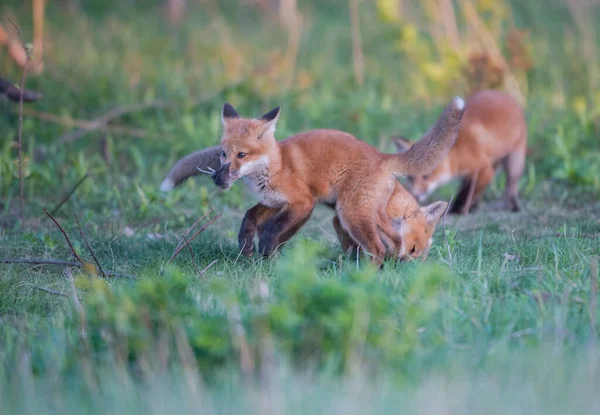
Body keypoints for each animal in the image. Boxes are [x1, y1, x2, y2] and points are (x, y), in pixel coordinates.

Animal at [162, 98, 466, 264]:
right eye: (223, 154)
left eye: (241, 155)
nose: (218, 178)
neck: (277, 166)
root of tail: (381, 155)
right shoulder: (274, 202)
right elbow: (250, 218)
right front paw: (248, 250)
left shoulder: (303, 202)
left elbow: (274, 231)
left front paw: (265, 258)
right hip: (362, 213)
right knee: (387, 242)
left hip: (351, 211)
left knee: (377, 248)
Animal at [396, 90, 528, 214]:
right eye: (410, 178)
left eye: (426, 176)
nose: (415, 195)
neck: (458, 152)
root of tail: (504, 94)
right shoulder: (470, 174)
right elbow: (464, 191)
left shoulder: (484, 169)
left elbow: (467, 193)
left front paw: (457, 210)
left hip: (514, 162)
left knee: (511, 185)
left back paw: (513, 206)